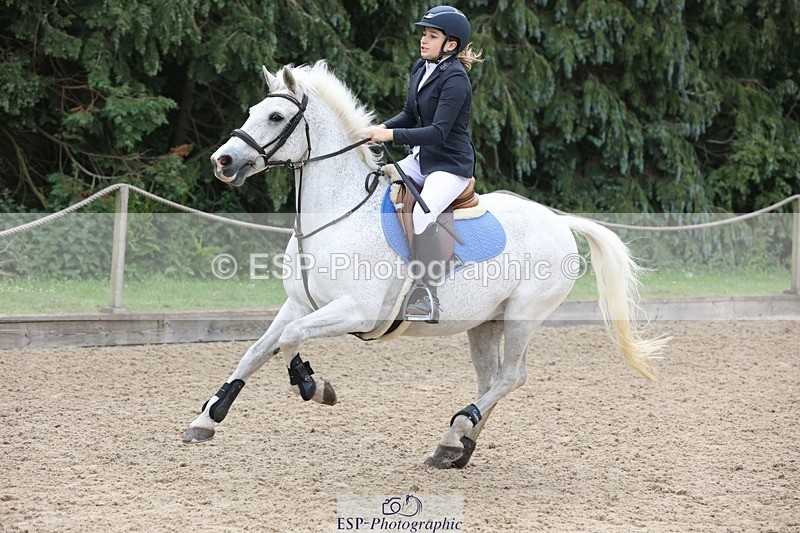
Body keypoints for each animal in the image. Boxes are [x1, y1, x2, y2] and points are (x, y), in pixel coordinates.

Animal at [183, 60, 667, 468]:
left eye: (275, 118)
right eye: (252, 111)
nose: (222, 161)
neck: (334, 215)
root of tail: (559, 220)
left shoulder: (356, 311)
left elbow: (290, 339)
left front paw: (314, 387)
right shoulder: (300, 304)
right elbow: (259, 349)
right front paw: (207, 418)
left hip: (523, 316)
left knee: (512, 377)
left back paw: (456, 433)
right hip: (485, 322)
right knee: (490, 379)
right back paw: (456, 447)